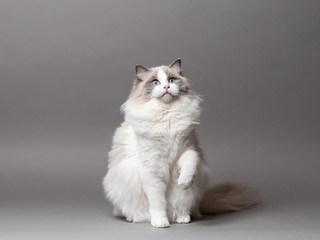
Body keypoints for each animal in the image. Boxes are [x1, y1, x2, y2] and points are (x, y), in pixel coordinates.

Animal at [104, 59, 258, 228]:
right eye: (155, 82)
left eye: (171, 80)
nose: (166, 87)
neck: (167, 116)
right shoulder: (153, 168)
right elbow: (158, 202)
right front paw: (161, 222)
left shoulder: (187, 150)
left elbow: (189, 165)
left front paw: (183, 182)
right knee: (127, 210)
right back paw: (135, 218)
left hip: (191, 194)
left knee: (183, 207)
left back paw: (183, 218)